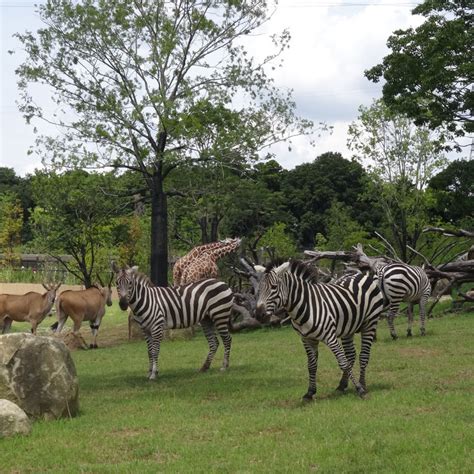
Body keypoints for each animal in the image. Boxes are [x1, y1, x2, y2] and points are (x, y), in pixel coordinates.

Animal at [256, 260, 386, 400]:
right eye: (259, 289)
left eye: (274, 287)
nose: (258, 315)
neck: (305, 305)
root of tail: (360, 274)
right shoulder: (307, 339)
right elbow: (311, 366)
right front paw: (310, 393)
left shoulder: (330, 337)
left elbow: (343, 363)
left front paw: (359, 389)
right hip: (348, 328)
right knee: (351, 355)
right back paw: (342, 385)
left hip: (370, 323)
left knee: (363, 356)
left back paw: (363, 384)